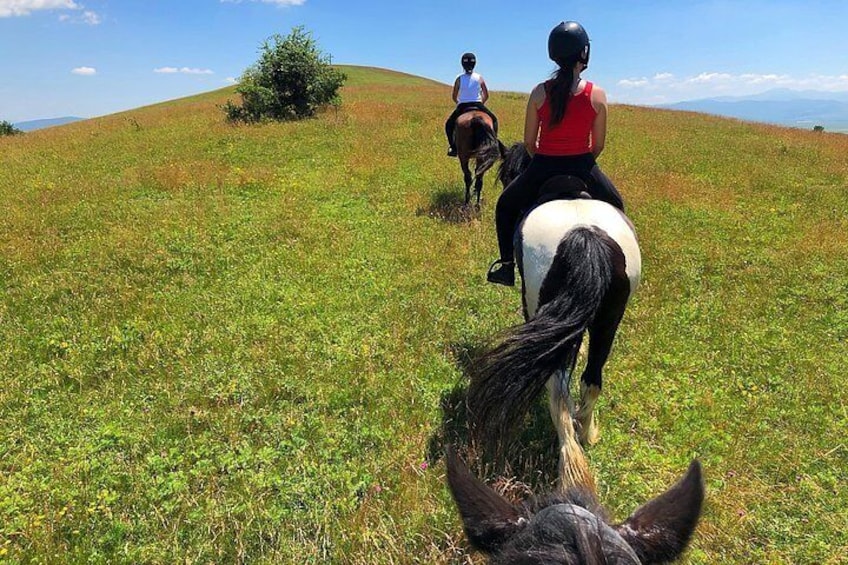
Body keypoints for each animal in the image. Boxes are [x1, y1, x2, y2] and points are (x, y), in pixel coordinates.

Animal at [468, 143, 640, 486]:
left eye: (506, 173)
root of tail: (586, 236)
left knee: (558, 388)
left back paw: (570, 461)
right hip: (610, 319)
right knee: (591, 379)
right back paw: (586, 432)